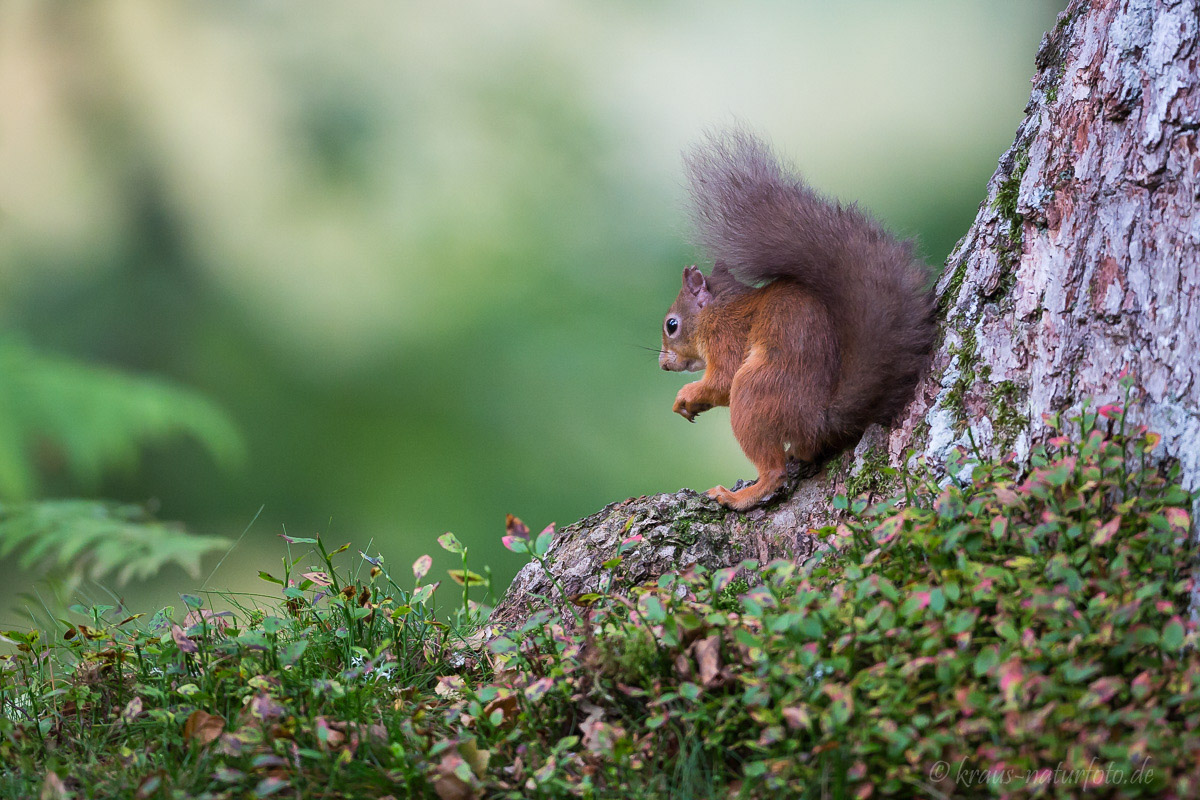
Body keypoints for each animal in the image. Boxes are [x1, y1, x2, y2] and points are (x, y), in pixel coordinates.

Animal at [662, 128, 931, 510]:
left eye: (672, 325)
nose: (663, 364)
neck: (718, 309)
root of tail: (820, 419)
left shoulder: (725, 337)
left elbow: (723, 380)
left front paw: (687, 394)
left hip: (756, 394)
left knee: (773, 470)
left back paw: (739, 496)